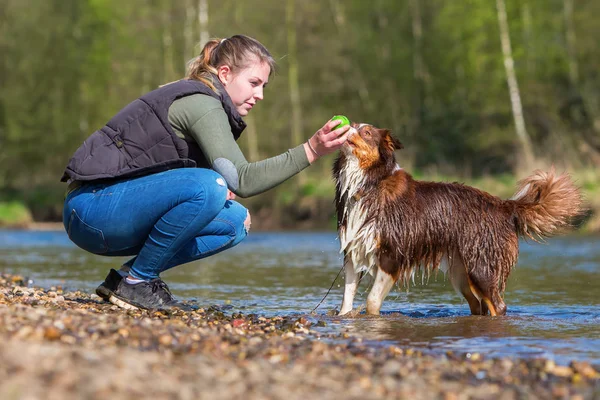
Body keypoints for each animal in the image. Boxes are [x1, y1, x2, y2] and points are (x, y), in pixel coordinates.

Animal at [330, 123, 584, 318]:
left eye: (366, 132)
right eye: (354, 125)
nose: (346, 128)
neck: (369, 183)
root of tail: (504, 205)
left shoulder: (392, 254)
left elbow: (372, 301)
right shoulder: (353, 252)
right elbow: (346, 299)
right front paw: (345, 318)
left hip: (482, 268)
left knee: (498, 305)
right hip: (462, 273)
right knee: (478, 305)